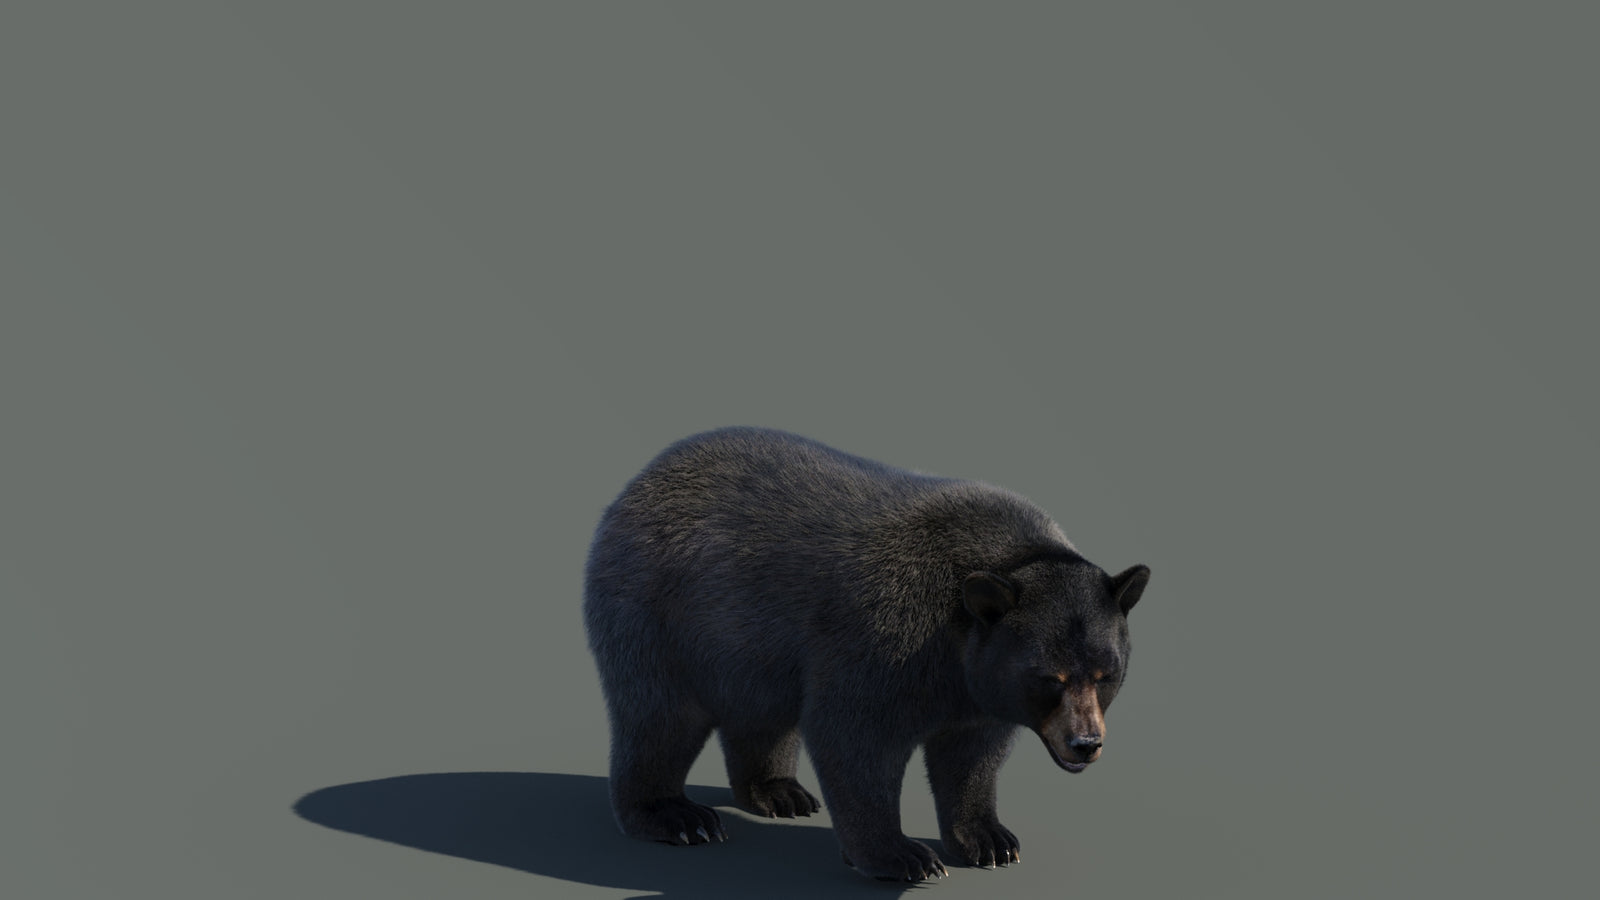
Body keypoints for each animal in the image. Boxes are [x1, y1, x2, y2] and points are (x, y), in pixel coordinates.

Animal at [582, 427, 1150, 882]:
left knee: (760, 712)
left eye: (1105, 673)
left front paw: (989, 839)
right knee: (658, 716)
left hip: (746, 648)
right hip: (658, 614)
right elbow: (855, 736)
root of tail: (640, 480)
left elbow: (971, 753)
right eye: (1051, 677)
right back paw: (676, 815)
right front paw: (902, 856)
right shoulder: (886, 636)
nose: (1085, 744)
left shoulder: (977, 690)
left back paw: (778, 792)